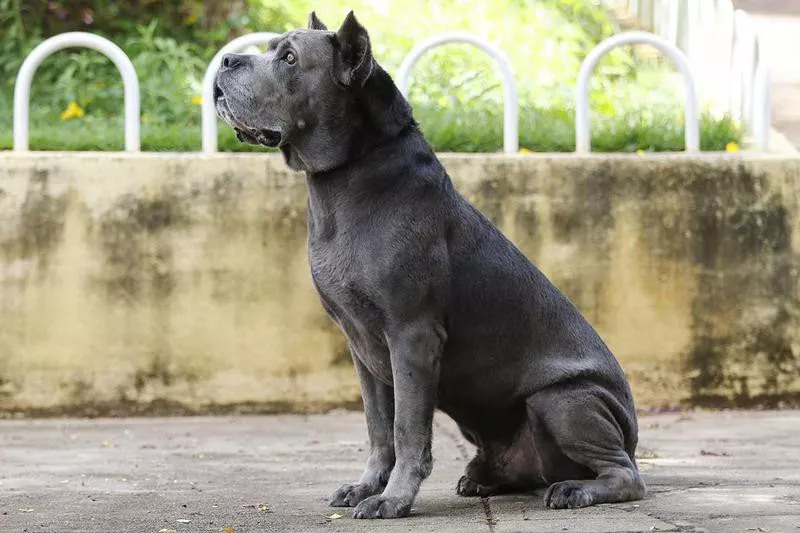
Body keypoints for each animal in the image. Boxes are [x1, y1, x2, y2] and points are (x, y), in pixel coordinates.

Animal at [216, 10, 648, 516]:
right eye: (269, 49)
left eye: (288, 58)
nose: (226, 61)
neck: (348, 174)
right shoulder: (362, 346)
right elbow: (378, 428)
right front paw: (367, 486)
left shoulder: (412, 334)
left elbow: (407, 428)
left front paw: (393, 499)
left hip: (566, 398)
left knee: (626, 474)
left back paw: (576, 490)